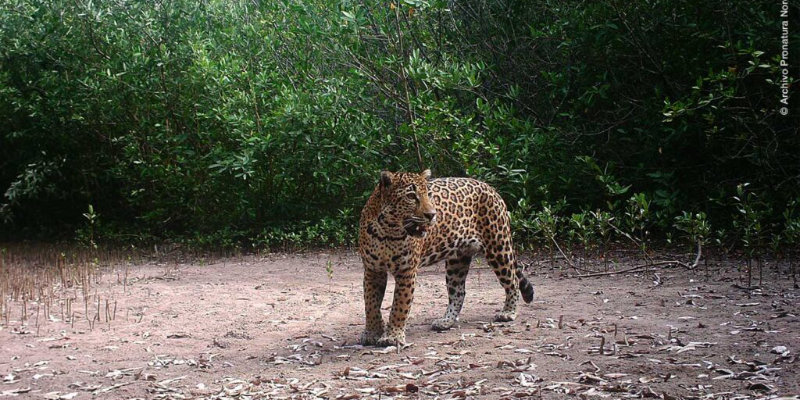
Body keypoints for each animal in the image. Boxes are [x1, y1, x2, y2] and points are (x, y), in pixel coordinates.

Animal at [358, 169, 535, 347]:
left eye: (427, 195)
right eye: (411, 196)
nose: (431, 215)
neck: (388, 232)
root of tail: (490, 188)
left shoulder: (406, 271)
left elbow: (400, 305)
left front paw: (392, 336)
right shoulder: (373, 269)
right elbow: (371, 304)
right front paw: (372, 333)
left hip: (498, 247)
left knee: (512, 280)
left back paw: (508, 312)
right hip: (457, 261)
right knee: (459, 292)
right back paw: (445, 321)